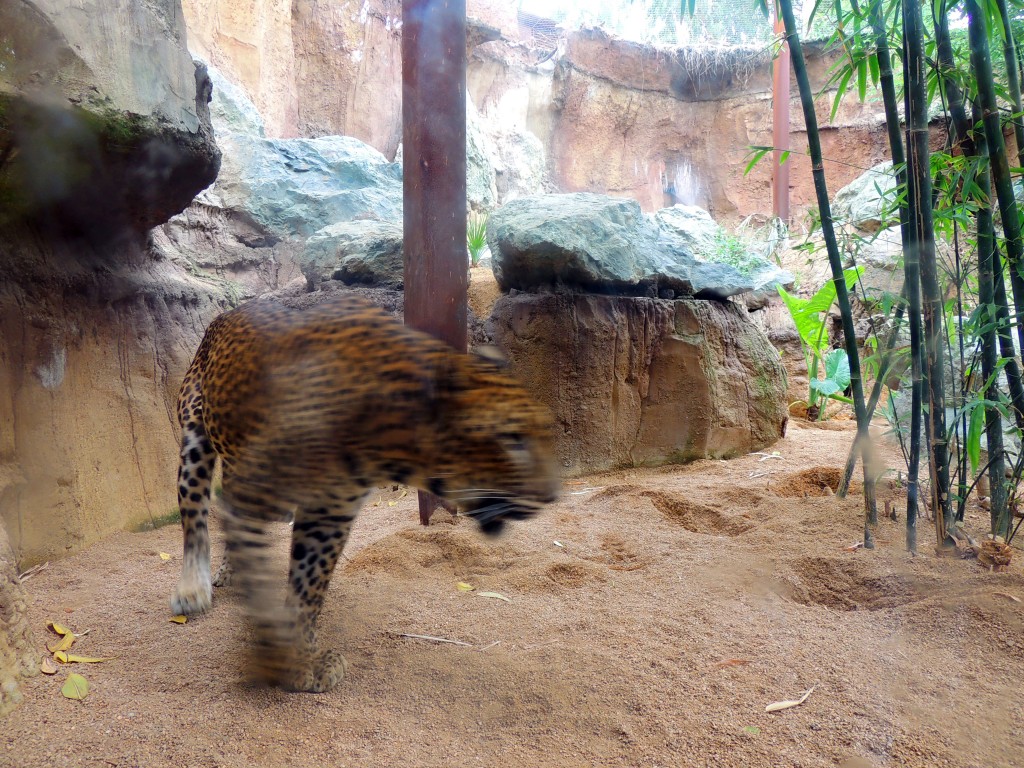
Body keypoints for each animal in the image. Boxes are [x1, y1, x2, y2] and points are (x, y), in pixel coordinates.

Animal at [168, 294, 557, 692]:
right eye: (512, 438)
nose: (551, 496)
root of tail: (229, 311)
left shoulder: (330, 512)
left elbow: (309, 585)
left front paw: (300, 654)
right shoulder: (264, 490)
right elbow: (261, 584)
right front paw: (276, 657)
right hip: (194, 439)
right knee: (195, 514)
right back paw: (193, 588)